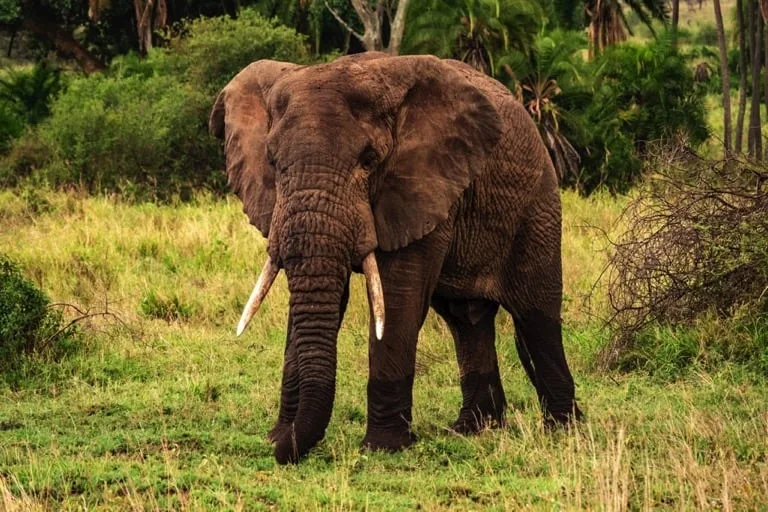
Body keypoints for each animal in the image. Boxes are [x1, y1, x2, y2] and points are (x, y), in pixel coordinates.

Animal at [209, 52, 583, 464]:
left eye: (368, 160)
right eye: (273, 162)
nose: (280, 448)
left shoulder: (422, 183)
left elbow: (398, 299)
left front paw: (382, 448)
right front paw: (279, 437)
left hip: (538, 206)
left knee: (535, 316)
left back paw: (563, 430)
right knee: (466, 320)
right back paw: (472, 430)